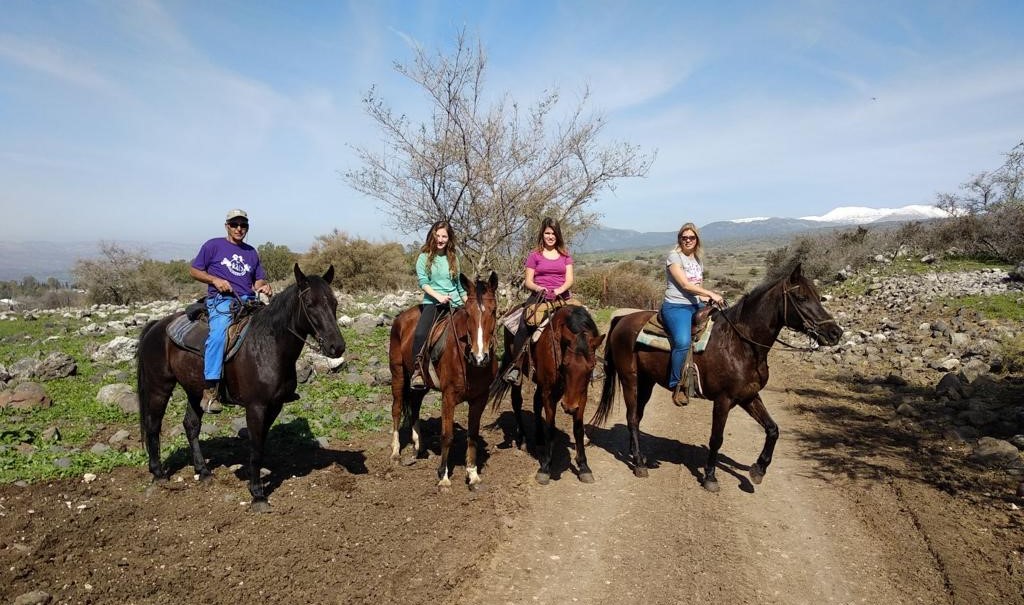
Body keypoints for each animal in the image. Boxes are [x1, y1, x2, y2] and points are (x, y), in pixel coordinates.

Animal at [136, 266, 348, 511]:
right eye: (310, 303)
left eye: (334, 302)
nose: (336, 347)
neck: (268, 346)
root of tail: (156, 326)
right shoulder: (255, 406)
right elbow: (255, 448)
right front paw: (257, 495)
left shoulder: (274, 406)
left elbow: (261, 445)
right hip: (159, 387)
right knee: (153, 425)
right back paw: (159, 473)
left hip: (194, 390)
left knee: (191, 426)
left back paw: (203, 471)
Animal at [387, 272, 499, 489]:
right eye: (468, 313)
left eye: (494, 311)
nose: (480, 357)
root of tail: (401, 318)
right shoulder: (449, 396)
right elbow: (447, 435)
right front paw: (444, 477)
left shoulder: (479, 399)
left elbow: (472, 435)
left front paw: (472, 474)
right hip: (398, 374)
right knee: (396, 408)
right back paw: (395, 452)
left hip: (421, 384)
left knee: (414, 406)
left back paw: (418, 446)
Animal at [489, 305, 602, 485]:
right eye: (565, 364)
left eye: (591, 367)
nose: (569, 407)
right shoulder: (549, 392)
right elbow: (550, 426)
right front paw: (546, 467)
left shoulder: (581, 395)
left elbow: (578, 428)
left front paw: (584, 467)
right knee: (517, 401)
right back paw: (522, 439)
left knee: (536, 403)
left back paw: (539, 439)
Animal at [593, 266, 839, 491]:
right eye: (801, 297)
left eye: (819, 296)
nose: (835, 333)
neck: (741, 343)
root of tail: (622, 319)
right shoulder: (724, 400)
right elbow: (716, 438)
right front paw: (710, 477)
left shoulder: (749, 396)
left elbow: (773, 429)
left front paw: (758, 470)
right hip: (630, 379)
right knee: (632, 418)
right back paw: (639, 465)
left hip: (647, 382)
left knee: (636, 416)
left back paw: (639, 456)